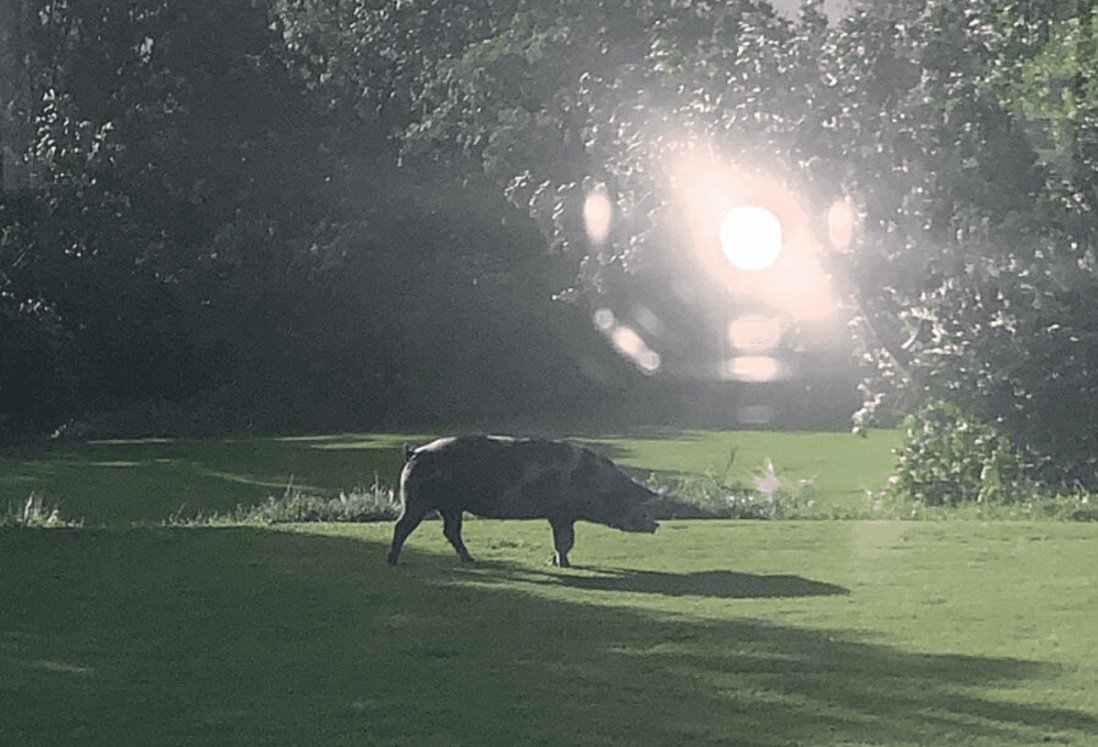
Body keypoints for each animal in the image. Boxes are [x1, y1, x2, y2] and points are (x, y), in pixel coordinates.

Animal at [386, 432, 658, 566]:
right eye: (630, 500)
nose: (656, 524)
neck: (595, 482)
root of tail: (415, 452)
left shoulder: (562, 516)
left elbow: (565, 540)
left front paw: (555, 562)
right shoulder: (561, 514)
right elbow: (565, 541)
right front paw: (563, 565)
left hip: (451, 506)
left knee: (450, 531)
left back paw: (470, 560)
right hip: (417, 499)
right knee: (402, 526)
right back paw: (393, 562)